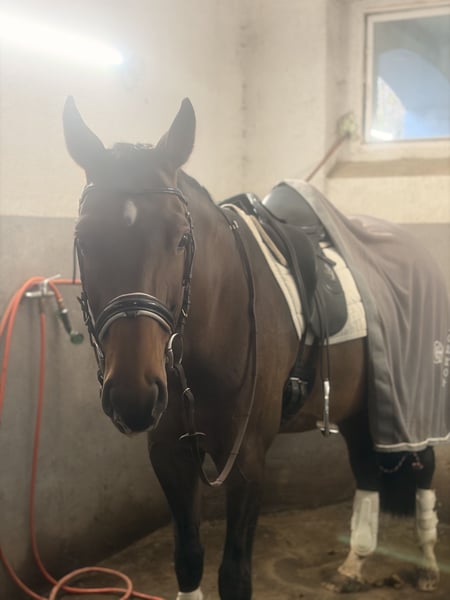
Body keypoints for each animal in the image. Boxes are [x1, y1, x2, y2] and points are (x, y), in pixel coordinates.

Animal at [62, 97, 448, 600]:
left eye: (181, 239)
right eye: (83, 240)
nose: (133, 396)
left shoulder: (246, 461)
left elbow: (235, 576)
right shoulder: (169, 455)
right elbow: (188, 559)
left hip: (413, 403)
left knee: (423, 471)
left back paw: (427, 564)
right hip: (361, 405)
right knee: (367, 473)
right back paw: (354, 564)